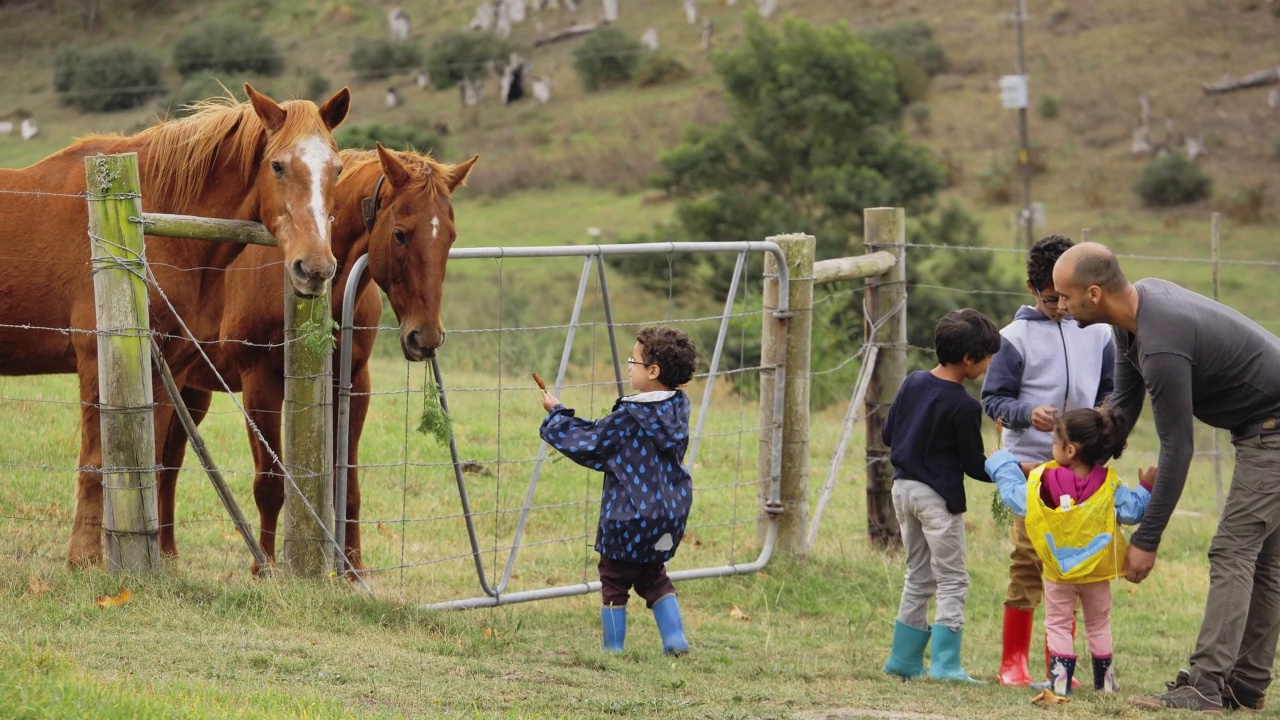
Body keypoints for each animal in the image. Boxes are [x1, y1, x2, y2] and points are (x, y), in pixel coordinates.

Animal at [0, 83, 350, 563]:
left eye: (337, 169)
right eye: (278, 165)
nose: (314, 269)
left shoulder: (166, 370)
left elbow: (154, 464)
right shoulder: (97, 361)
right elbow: (95, 462)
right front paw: (85, 557)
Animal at [157, 144, 478, 571]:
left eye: (450, 237)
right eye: (400, 234)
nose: (424, 337)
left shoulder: (354, 385)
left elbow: (349, 486)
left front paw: (353, 570)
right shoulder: (261, 387)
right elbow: (270, 485)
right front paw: (264, 568)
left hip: (191, 391)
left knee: (170, 461)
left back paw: (167, 553)